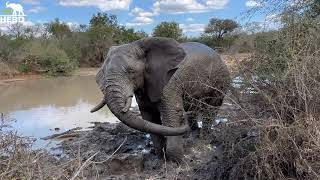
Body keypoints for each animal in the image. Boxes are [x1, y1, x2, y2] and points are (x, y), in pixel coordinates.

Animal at [91, 37, 231, 161]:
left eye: (131, 71)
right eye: (102, 72)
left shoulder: (168, 83)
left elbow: (171, 114)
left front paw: (175, 161)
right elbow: (149, 117)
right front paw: (160, 157)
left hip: (221, 79)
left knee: (211, 107)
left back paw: (203, 139)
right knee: (192, 108)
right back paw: (192, 134)